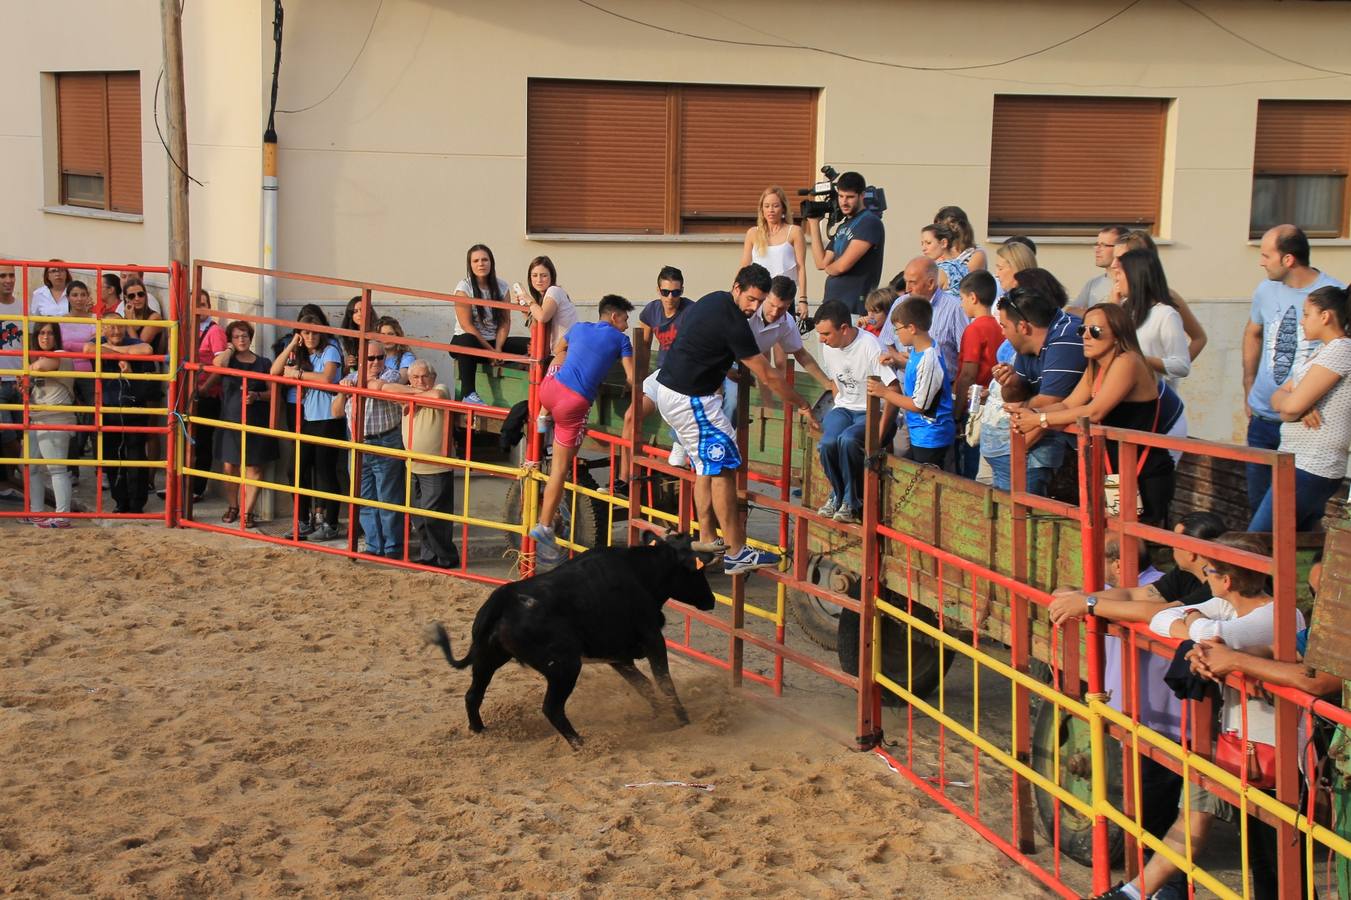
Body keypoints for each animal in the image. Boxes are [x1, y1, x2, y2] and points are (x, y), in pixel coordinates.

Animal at [421, 529, 718, 745]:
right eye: (699, 571)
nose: (711, 600)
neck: (641, 573)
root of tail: (503, 599)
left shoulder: (618, 657)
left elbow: (644, 685)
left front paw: (660, 715)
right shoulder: (653, 640)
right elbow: (664, 682)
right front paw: (682, 720)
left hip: (488, 658)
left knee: (473, 695)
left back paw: (479, 730)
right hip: (564, 667)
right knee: (551, 708)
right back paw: (580, 742)